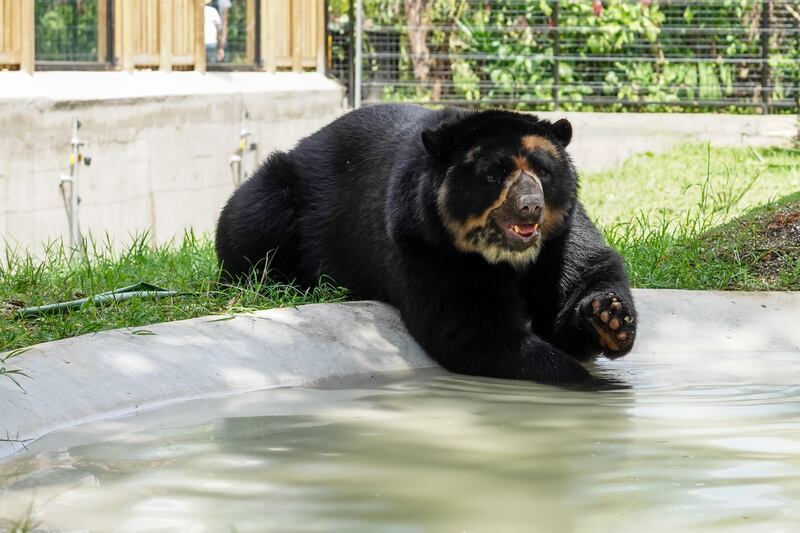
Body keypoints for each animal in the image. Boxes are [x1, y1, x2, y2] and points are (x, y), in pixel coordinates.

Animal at [214, 104, 636, 384]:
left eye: (544, 172)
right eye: (494, 174)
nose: (531, 206)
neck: (506, 256)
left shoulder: (558, 235)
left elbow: (583, 273)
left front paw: (610, 318)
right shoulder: (424, 244)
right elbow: (470, 325)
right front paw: (588, 381)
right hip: (283, 196)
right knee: (253, 220)